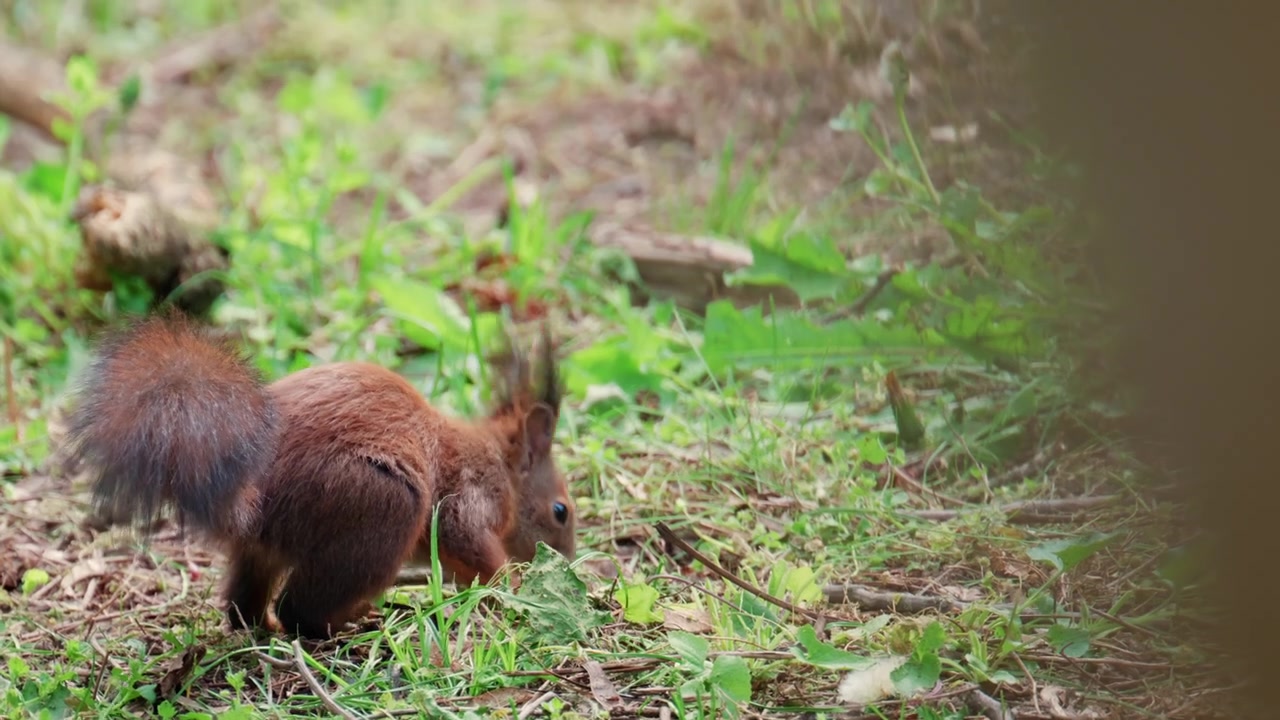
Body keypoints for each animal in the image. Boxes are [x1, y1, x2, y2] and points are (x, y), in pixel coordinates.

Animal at [64, 310, 576, 639]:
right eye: (561, 511)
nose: (568, 561)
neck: (499, 463)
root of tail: (252, 494)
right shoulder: (470, 495)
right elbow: (467, 539)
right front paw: (512, 589)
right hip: (379, 511)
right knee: (299, 610)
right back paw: (351, 622)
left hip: (262, 552)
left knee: (243, 607)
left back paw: (265, 628)